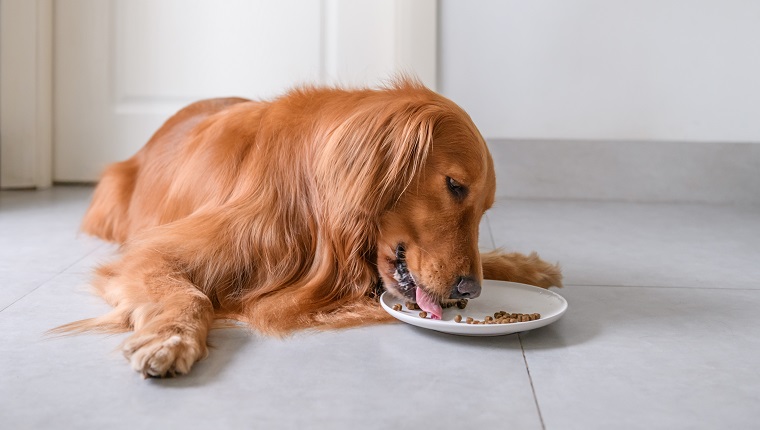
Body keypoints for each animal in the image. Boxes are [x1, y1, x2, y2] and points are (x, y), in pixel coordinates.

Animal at [58, 79, 560, 378]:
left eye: (485, 208)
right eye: (455, 186)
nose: (470, 290)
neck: (310, 207)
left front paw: (524, 266)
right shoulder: (157, 251)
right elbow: (189, 294)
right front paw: (171, 337)